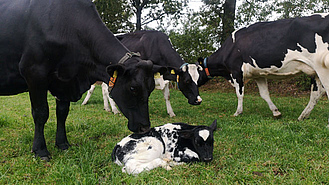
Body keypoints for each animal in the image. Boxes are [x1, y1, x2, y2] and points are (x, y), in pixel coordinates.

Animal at [0, 0, 164, 160]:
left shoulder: (64, 81)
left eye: (151, 88)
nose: (145, 127)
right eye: (133, 88)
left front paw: (62, 144)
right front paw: (40, 150)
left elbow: (62, 113)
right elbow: (41, 113)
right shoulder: (34, 72)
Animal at [196, 13, 328, 124]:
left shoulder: (236, 71)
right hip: (315, 71)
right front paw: (276, 112)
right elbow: (264, 94)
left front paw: (237, 112)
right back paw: (303, 116)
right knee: (317, 92)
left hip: (322, 66)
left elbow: (239, 94)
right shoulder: (258, 74)